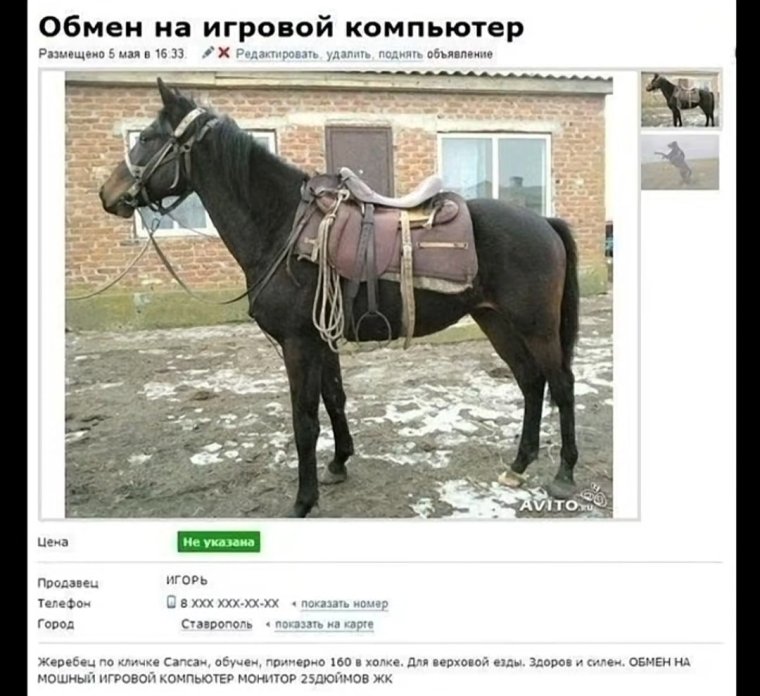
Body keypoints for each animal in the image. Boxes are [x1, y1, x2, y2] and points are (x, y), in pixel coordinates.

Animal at [99, 78, 580, 518]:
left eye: (147, 138)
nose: (107, 193)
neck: (282, 229)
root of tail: (544, 222)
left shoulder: (298, 343)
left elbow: (304, 421)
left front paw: (303, 500)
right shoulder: (320, 338)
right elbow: (334, 399)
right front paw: (339, 463)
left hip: (535, 326)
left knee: (560, 384)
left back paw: (564, 474)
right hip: (495, 320)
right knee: (530, 381)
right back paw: (518, 465)